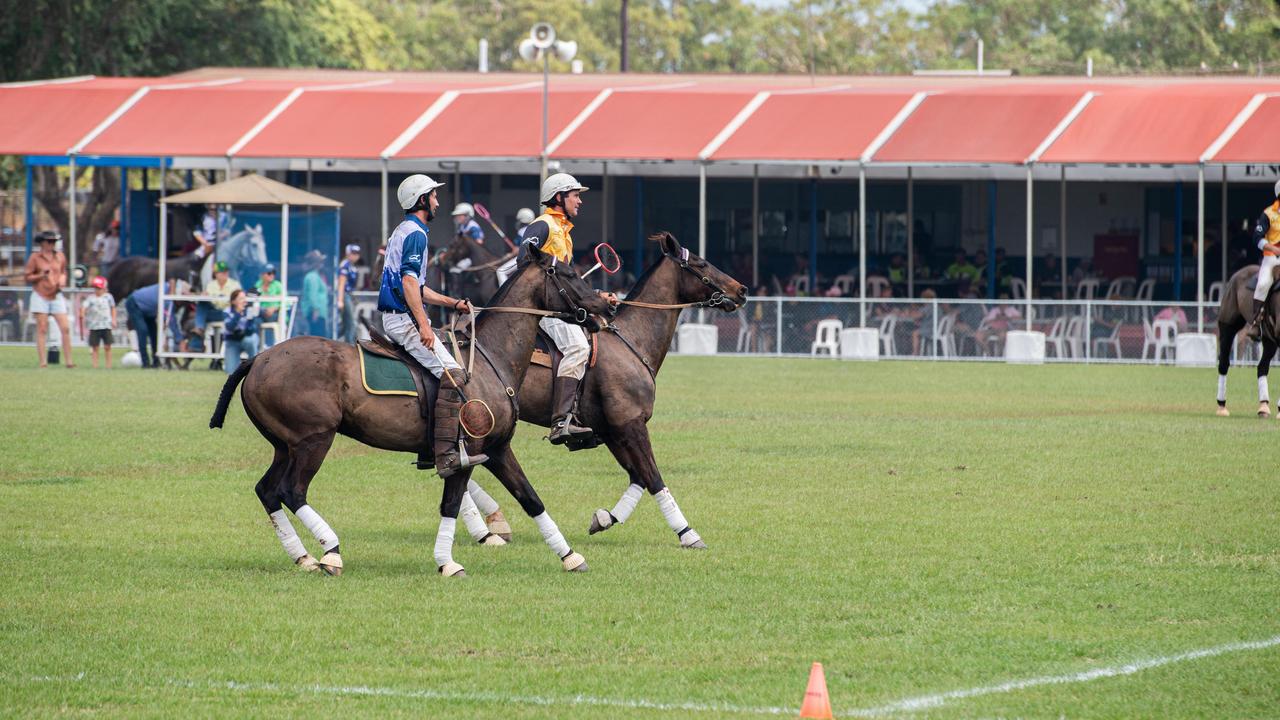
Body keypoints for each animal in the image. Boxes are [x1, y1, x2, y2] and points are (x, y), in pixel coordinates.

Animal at [208, 243, 609, 573]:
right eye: (568, 274)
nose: (606, 304)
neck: (492, 356)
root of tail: (257, 359)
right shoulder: (467, 451)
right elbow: (451, 504)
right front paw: (448, 563)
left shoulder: (497, 448)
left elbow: (531, 498)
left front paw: (570, 556)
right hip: (313, 439)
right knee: (292, 491)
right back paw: (331, 552)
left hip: (284, 444)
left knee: (267, 490)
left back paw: (304, 557)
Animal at [476, 233, 747, 545]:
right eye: (701, 263)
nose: (742, 290)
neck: (633, 341)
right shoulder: (631, 423)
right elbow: (654, 478)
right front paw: (687, 533)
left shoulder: (612, 431)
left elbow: (639, 477)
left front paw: (605, 518)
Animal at [1208, 263, 1280, 415]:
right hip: (1228, 325)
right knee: (1223, 363)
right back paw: (1221, 406)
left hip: (1268, 338)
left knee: (1262, 366)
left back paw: (1263, 405)